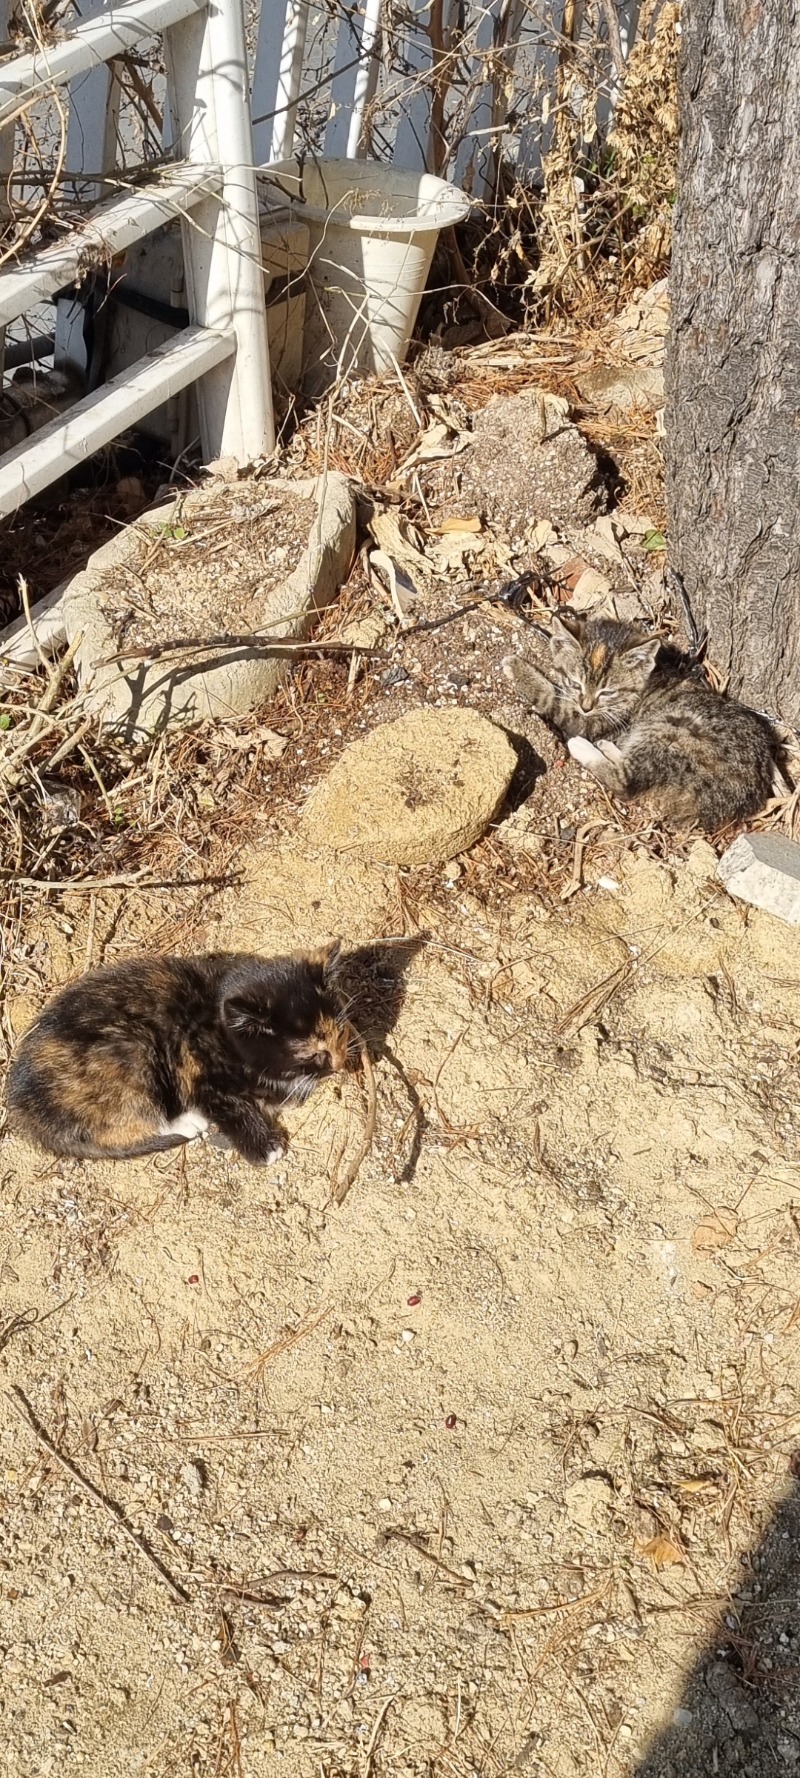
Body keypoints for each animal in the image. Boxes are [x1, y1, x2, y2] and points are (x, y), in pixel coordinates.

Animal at [6, 944, 351, 1165]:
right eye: (312, 1052)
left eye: (340, 1034)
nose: (338, 1064)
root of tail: (22, 1108)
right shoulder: (195, 1068)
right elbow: (231, 1105)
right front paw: (265, 1146)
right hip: (132, 1051)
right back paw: (187, 1122)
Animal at [504, 613, 783, 831]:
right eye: (576, 683)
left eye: (607, 692)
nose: (586, 706)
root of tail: (741, 797)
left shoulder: (590, 722)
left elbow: (551, 698)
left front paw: (517, 667)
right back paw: (607, 747)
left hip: (673, 727)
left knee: (627, 782)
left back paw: (584, 747)